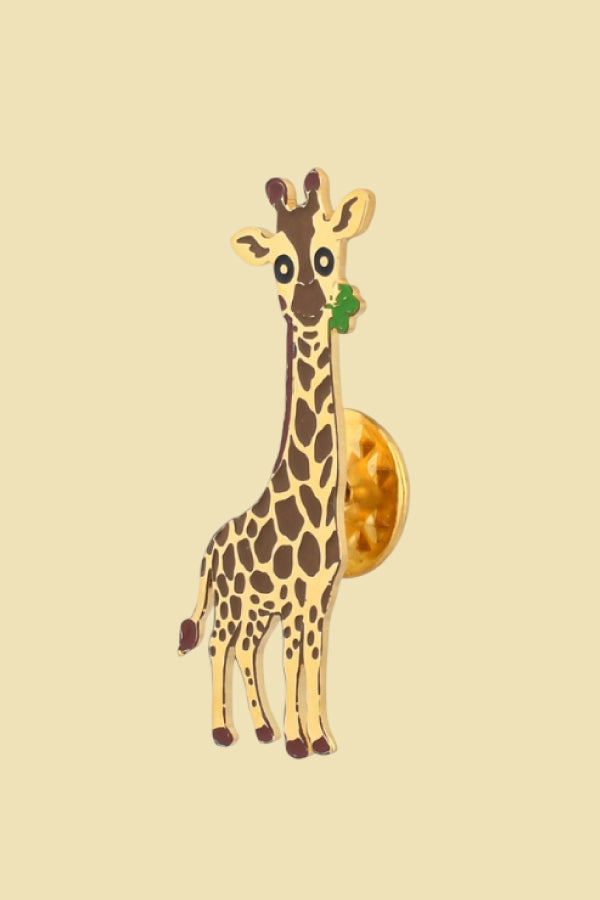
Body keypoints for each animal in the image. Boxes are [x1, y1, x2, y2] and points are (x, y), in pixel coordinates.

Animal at [178, 168, 375, 758]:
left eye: (328, 256)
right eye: (281, 266)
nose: (309, 305)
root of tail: (210, 547)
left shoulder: (318, 597)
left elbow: (313, 664)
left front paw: (319, 739)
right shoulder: (294, 599)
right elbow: (293, 663)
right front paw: (297, 741)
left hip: (252, 608)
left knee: (243, 647)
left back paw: (259, 729)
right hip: (232, 602)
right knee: (218, 644)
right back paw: (224, 731)